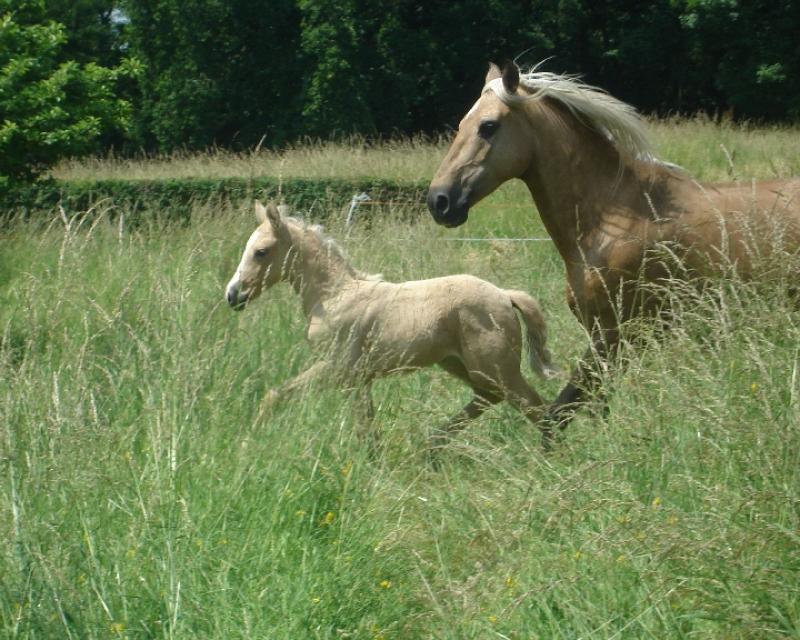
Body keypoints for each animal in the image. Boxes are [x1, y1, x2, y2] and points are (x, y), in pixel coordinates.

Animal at [225, 202, 556, 448]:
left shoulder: (336, 368)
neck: (333, 296)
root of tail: (504, 294)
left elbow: (274, 396)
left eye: (261, 251)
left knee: (535, 406)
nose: (233, 295)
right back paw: (433, 443)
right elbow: (366, 427)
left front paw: (247, 442)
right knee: (490, 398)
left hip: (496, 367)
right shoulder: (359, 381)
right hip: (460, 364)